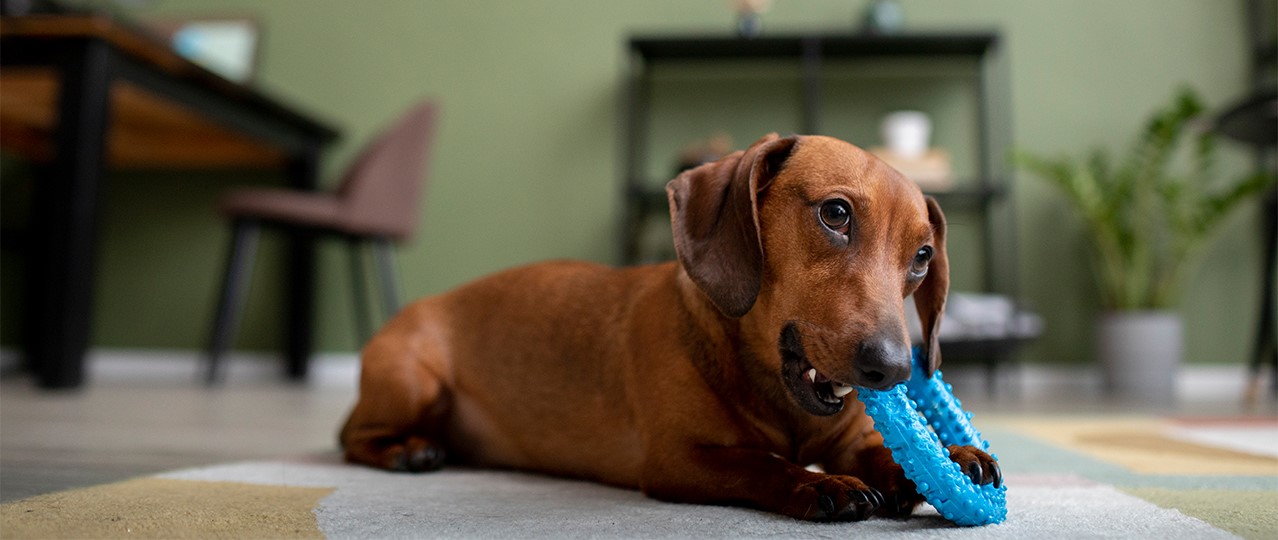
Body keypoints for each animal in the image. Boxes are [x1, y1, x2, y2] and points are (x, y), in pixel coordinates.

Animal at [345, 133, 1001, 523]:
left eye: (922, 256)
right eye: (835, 213)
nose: (891, 370)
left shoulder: (848, 437)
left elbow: (886, 453)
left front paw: (955, 455)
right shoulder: (678, 459)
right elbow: (758, 463)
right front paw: (821, 486)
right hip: (415, 383)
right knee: (351, 437)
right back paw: (409, 450)